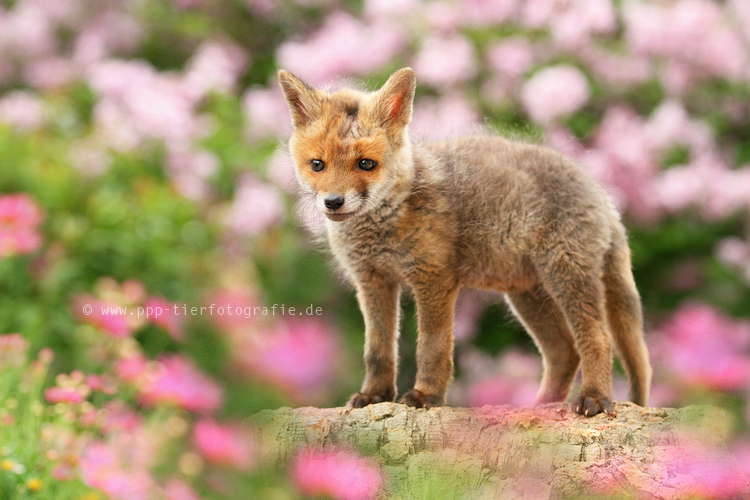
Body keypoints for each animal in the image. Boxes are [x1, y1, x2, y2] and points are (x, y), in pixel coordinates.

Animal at [278, 67, 652, 418]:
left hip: (567, 278)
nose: (333, 202)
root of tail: (599, 191)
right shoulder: (372, 282)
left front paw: (426, 396)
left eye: (366, 164)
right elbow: (378, 350)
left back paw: (594, 397)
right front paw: (374, 395)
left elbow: (432, 347)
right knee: (564, 353)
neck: (383, 226)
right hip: (528, 295)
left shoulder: (434, 279)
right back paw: (536, 409)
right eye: (318, 165)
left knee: (598, 339)